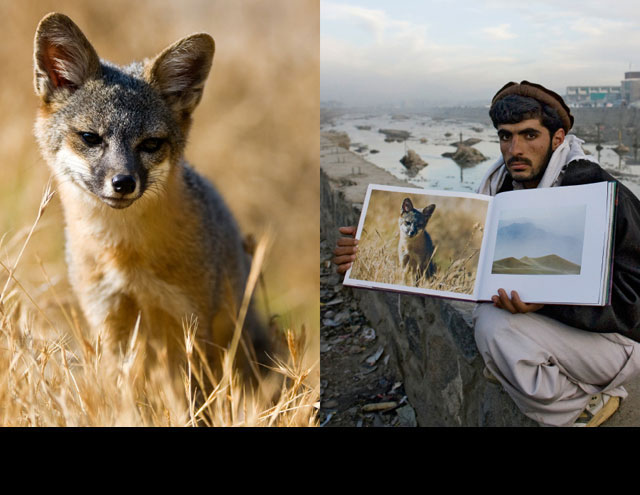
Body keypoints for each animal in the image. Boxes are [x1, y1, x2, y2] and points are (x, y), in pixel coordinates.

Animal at [32, 13, 269, 375]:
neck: (124, 252)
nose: (123, 182)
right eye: (90, 138)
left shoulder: (191, 321)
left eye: (151, 144)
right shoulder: (107, 318)